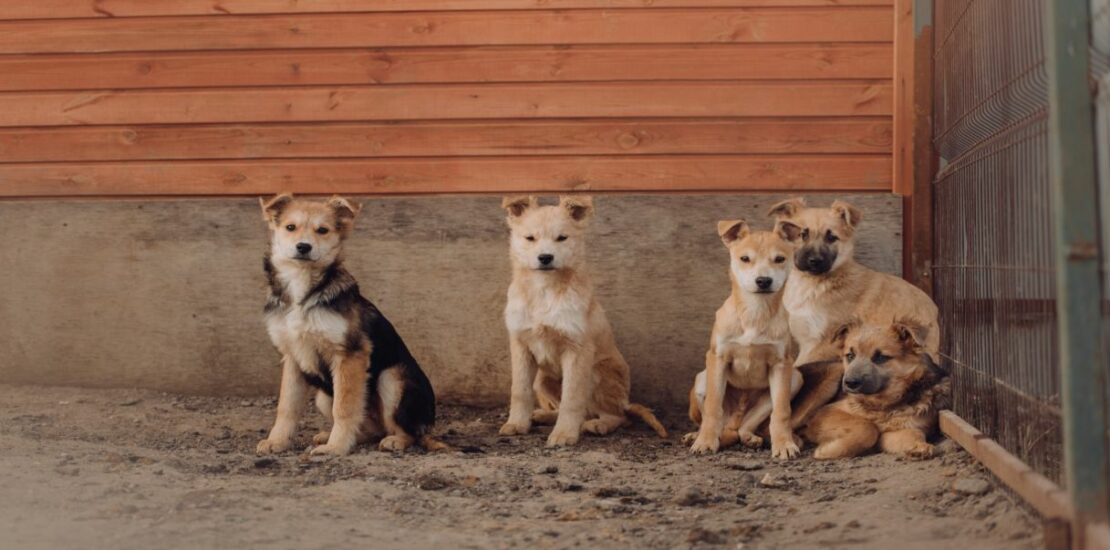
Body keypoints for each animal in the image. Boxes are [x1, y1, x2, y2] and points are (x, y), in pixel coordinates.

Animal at [255, 192, 441, 455]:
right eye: (290, 227)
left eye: (322, 230)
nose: (303, 246)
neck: (303, 286)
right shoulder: (292, 358)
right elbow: (286, 407)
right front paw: (277, 441)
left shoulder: (350, 355)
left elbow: (344, 408)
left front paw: (336, 447)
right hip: (323, 395)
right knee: (370, 428)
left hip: (391, 378)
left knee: (407, 431)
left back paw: (395, 440)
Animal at [497, 195, 666, 446]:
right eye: (530, 238)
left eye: (562, 238)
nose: (545, 257)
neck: (544, 290)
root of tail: (626, 401)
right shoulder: (521, 345)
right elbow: (519, 391)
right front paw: (517, 424)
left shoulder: (577, 350)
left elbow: (572, 397)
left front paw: (565, 433)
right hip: (542, 380)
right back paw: (544, 415)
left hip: (597, 374)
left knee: (618, 416)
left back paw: (598, 425)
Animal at [683, 222, 799, 457]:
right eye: (745, 258)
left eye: (780, 259)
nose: (763, 281)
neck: (754, 311)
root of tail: (734, 420)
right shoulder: (717, 358)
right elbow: (713, 407)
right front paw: (705, 442)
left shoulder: (782, 364)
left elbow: (782, 411)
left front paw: (784, 444)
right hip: (702, 378)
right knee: (714, 418)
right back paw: (697, 435)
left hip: (795, 378)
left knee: (745, 426)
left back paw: (749, 438)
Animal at [803, 320, 950, 457]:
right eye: (850, 356)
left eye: (880, 357)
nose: (850, 383)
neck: (880, 404)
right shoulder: (824, 413)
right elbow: (868, 427)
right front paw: (829, 450)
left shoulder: (899, 430)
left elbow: (913, 433)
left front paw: (919, 446)